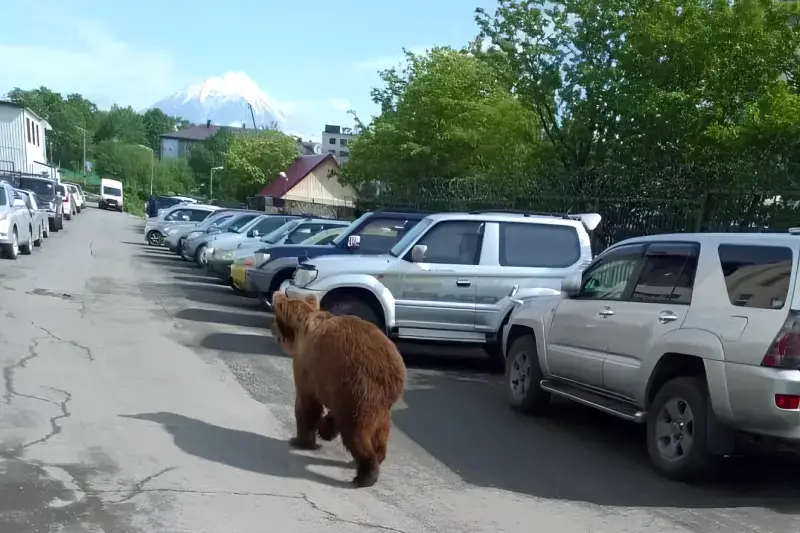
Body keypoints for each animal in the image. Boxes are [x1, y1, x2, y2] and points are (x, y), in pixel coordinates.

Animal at [271, 291, 406, 488]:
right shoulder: (333, 385)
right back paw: (378, 455)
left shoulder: (310, 370)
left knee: (355, 431)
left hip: (362, 386)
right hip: (382, 401)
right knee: (381, 430)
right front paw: (324, 429)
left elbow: (307, 406)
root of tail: (393, 369)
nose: (271, 328)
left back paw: (365, 474)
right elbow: (330, 412)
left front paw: (301, 440)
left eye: (275, 319)